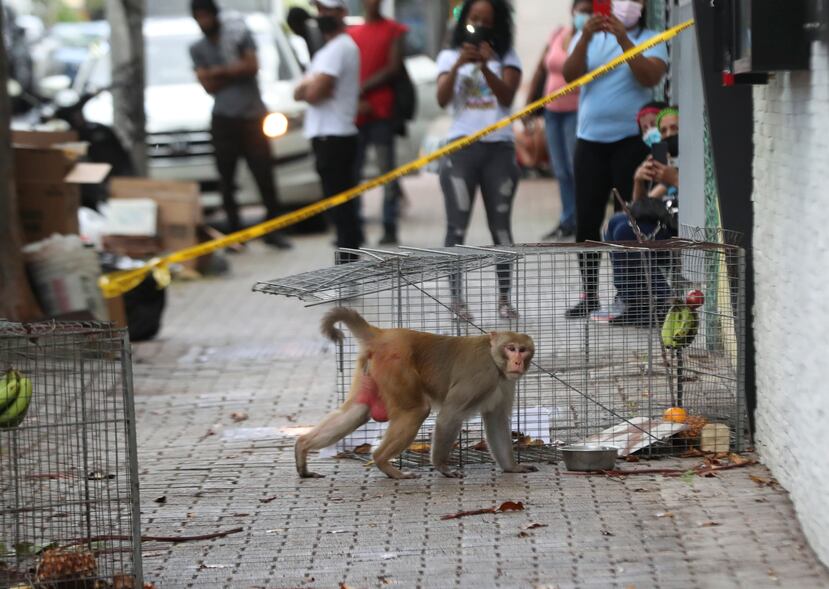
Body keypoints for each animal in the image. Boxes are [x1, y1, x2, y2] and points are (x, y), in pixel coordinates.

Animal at [294, 308, 540, 478]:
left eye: (523, 350)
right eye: (511, 348)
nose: (517, 362)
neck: (495, 360)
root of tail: (382, 335)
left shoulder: (505, 383)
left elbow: (496, 419)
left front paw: (512, 467)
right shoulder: (481, 376)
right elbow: (450, 414)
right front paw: (443, 468)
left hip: (372, 369)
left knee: (358, 410)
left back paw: (302, 446)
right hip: (395, 365)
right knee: (416, 411)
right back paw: (384, 463)